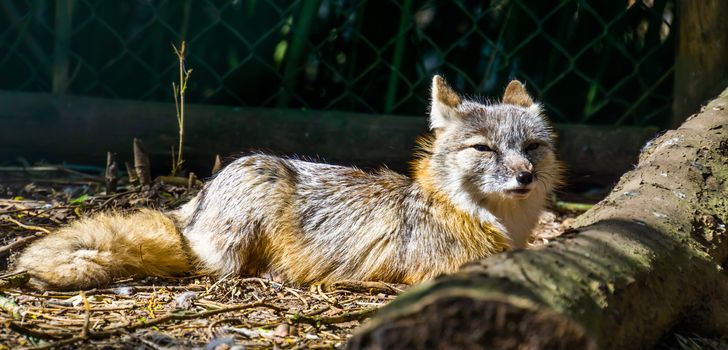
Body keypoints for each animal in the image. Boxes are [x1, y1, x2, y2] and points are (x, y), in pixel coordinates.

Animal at [12, 76, 564, 290]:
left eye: (532, 146)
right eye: (483, 149)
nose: (525, 175)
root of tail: (192, 205)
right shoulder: (443, 267)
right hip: (257, 185)